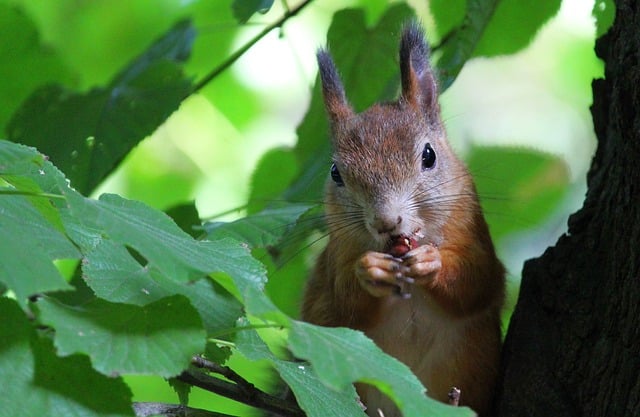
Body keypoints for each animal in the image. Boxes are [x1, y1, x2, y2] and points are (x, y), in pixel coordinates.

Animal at [302, 21, 508, 414]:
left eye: (429, 155)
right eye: (336, 173)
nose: (386, 222)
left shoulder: (472, 229)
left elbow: (478, 281)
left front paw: (431, 263)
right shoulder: (337, 257)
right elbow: (344, 306)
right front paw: (371, 270)